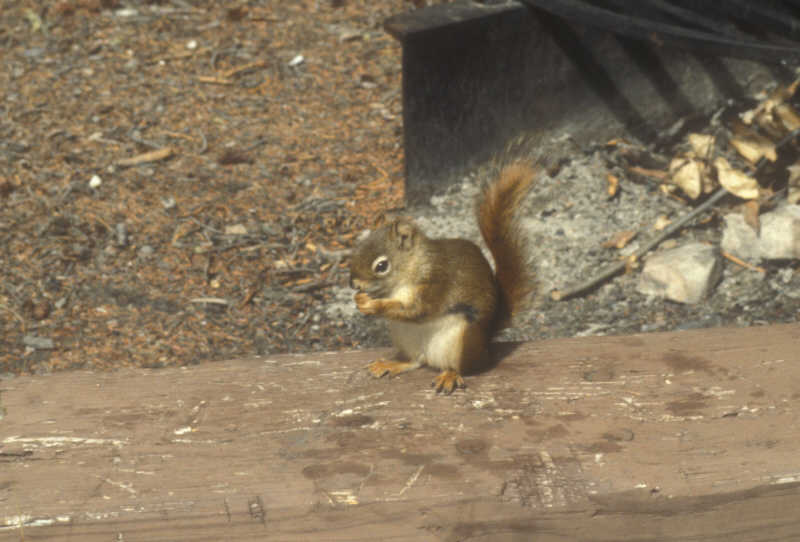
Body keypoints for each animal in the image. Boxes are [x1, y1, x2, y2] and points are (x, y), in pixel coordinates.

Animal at [349, 163, 536, 394]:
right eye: (358, 248)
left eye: (382, 266)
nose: (353, 283)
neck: (411, 267)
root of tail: (485, 345)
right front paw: (360, 299)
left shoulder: (436, 284)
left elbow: (416, 310)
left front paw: (373, 305)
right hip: (404, 335)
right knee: (415, 360)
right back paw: (392, 364)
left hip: (461, 340)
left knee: (462, 367)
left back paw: (450, 375)